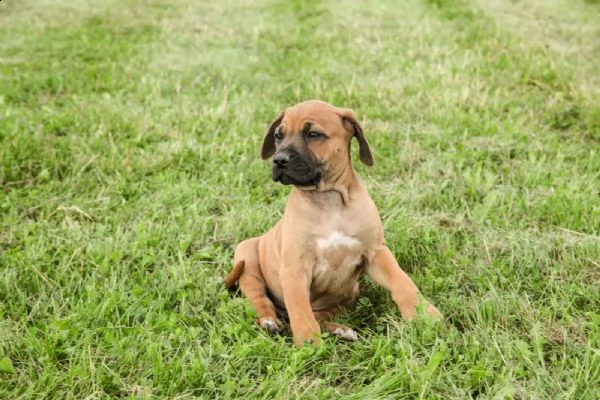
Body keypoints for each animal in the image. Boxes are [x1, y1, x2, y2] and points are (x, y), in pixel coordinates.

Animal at [225, 99, 440, 344]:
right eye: (278, 136)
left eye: (313, 134)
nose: (279, 160)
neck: (328, 202)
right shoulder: (295, 268)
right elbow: (300, 309)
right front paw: (309, 343)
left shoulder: (376, 253)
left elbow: (402, 282)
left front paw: (424, 313)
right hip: (246, 256)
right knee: (259, 298)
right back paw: (269, 321)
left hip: (351, 290)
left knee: (320, 314)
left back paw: (340, 330)